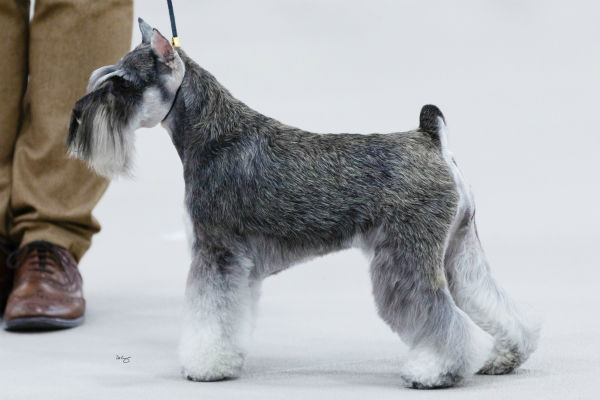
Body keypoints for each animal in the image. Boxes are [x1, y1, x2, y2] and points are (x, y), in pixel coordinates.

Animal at [65, 19, 540, 390]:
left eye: (121, 84)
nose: (75, 117)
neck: (211, 133)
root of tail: (431, 138)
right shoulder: (237, 264)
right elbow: (230, 316)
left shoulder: (216, 251)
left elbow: (209, 314)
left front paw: (205, 366)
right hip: (459, 251)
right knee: (490, 300)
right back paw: (503, 357)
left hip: (407, 259)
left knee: (440, 314)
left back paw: (435, 372)